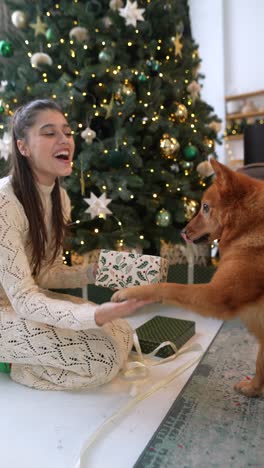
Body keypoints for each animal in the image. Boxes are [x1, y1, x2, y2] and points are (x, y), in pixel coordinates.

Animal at [111, 159, 264, 396]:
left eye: (206, 207)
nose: (182, 231)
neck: (248, 226)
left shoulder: (215, 296)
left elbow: (168, 286)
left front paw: (128, 292)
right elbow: (259, 363)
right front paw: (253, 388)